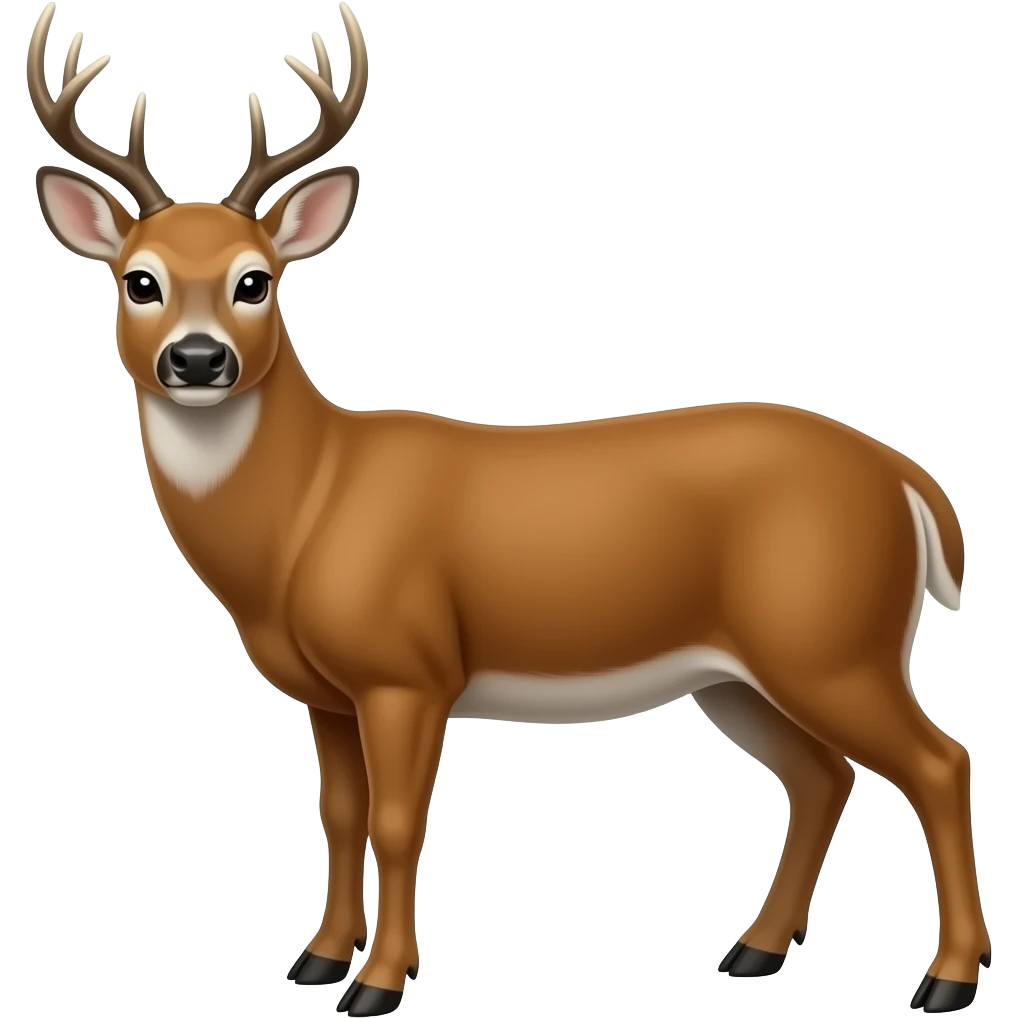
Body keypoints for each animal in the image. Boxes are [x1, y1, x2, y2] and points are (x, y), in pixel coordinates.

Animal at [28, 3, 987, 1014]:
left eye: (257, 279)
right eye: (139, 278)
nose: (198, 358)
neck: (304, 513)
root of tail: (904, 477)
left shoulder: (408, 668)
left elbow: (398, 821)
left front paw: (378, 982)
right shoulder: (329, 691)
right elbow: (339, 815)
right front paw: (317, 959)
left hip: (832, 640)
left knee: (938, 762)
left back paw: (946, 979)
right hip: (741, 674)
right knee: (823, 777)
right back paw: (754, 951)